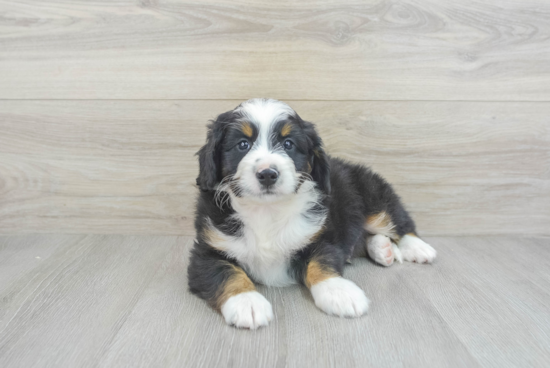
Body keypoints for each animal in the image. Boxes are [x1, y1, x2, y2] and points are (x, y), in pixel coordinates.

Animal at [188, 98, 438, 330]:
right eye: (243, 144)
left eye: (288, 144)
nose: (268, 174)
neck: (267, 211)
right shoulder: (206, 251)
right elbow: (226, 273)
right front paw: (247, 302)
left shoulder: (320, 236)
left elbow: (321, 261)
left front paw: (339, 291)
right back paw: (383, 250)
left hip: (373, 196)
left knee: (398, 221)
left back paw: (417, 248)